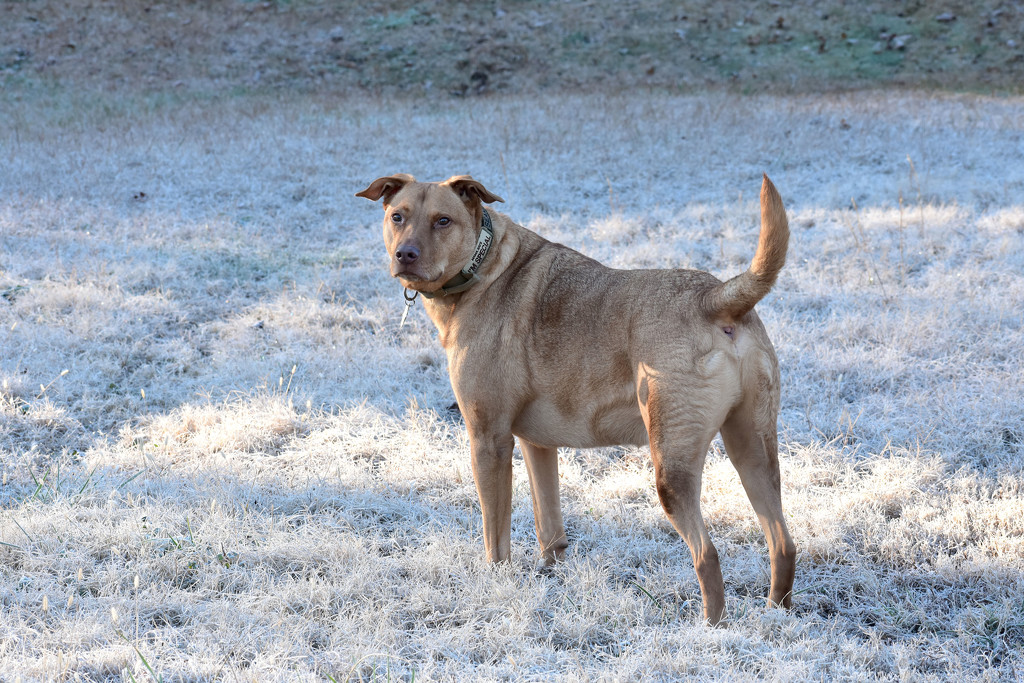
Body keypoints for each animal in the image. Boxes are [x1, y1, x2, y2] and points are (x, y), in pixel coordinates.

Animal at [356, 172, 794, 626]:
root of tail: (716, 296)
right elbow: (549, 524)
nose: (405, 255)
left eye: (443, 220)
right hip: (752, 450)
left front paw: (495, 584)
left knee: (707, 556)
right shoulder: (536, 444)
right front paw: (550, 575)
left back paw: (710, 629)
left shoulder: (488, 440)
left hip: (671, 465)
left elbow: (496, 535)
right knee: (783, 543)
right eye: (398, 216)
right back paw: (775, 614)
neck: (484, 264)